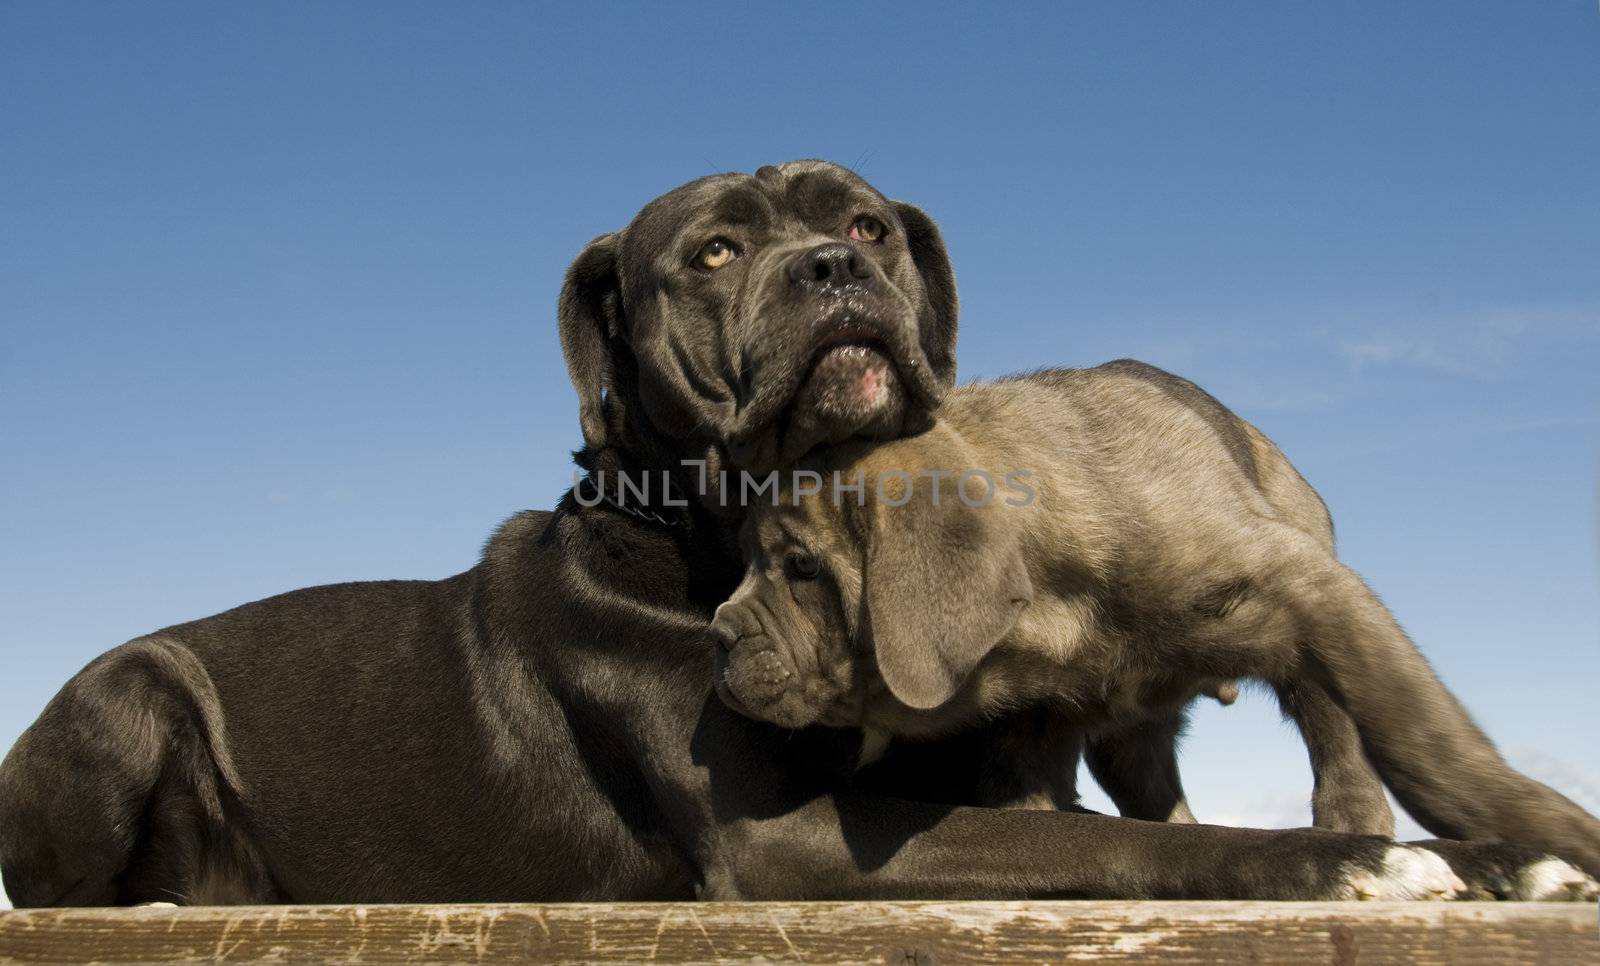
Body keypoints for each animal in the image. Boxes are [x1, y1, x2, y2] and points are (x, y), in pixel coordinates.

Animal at [0, 158, 1523, 908]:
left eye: (868, 223)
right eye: (716, 252)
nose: (836, 266)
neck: (720, 537)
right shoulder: (792, 839)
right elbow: (1128, 847)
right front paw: (1353, 862)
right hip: (132, 687)